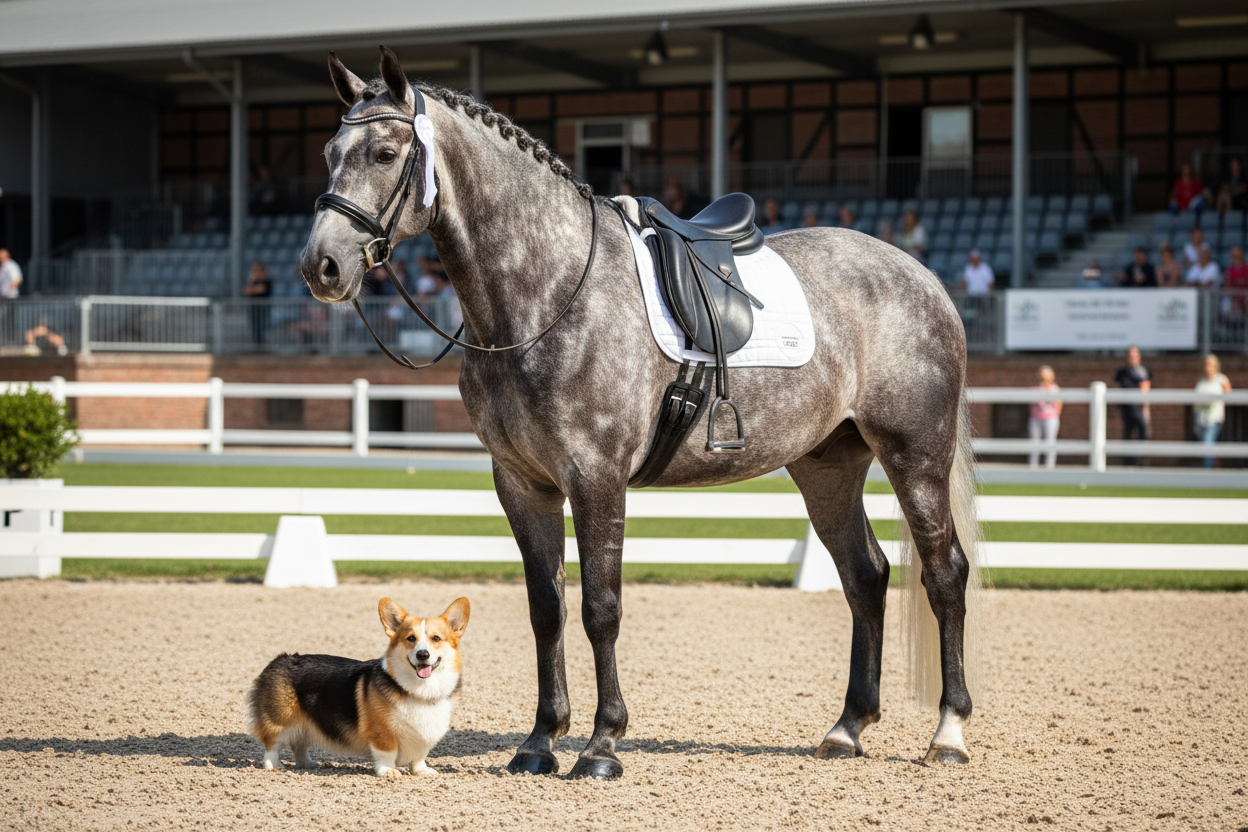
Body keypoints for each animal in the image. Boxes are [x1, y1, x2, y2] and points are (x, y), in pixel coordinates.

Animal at [301, 47, 983, 780]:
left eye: (385, 151)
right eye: (329, 151)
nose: (322, 266)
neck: (547, 293)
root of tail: (922, 276)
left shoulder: (596, 477)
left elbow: (601, 607)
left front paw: (602, 745)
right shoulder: (522, 483)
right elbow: (547, 609)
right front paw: (540, 742)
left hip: (915, 454)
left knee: (945, 573)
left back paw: (948, 732)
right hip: (827, 466)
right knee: (865, 575)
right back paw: (848, 728)